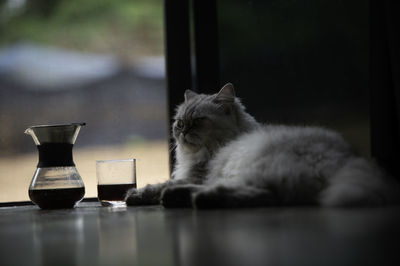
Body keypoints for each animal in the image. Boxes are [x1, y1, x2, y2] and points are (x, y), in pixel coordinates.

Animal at [124, 83, 396, 208]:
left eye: (198, 121)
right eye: (179, 123)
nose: (183, 132)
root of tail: (349, 157)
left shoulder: (198, 174)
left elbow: (158, 184)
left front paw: (135, 195)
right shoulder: (196, 175)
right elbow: (162, 184)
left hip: (254, 167)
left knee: (263, 195)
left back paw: (194, 198)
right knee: (268, 196)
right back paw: (185, 197)